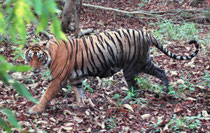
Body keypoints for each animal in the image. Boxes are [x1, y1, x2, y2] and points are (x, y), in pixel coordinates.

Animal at [24, 28, 199, 113]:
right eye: (30, 58)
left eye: (39, 57)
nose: (34, 70)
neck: (51, 53)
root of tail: (146, 34)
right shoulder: (75, 78)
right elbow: (79, 92)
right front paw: (79, 105)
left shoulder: (58, 79)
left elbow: (46, 95)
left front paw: (35, 110)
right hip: (144, 62)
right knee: (161, 71)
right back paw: (166, 90)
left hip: (130, 68)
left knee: (135, 88)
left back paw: (124, 102)